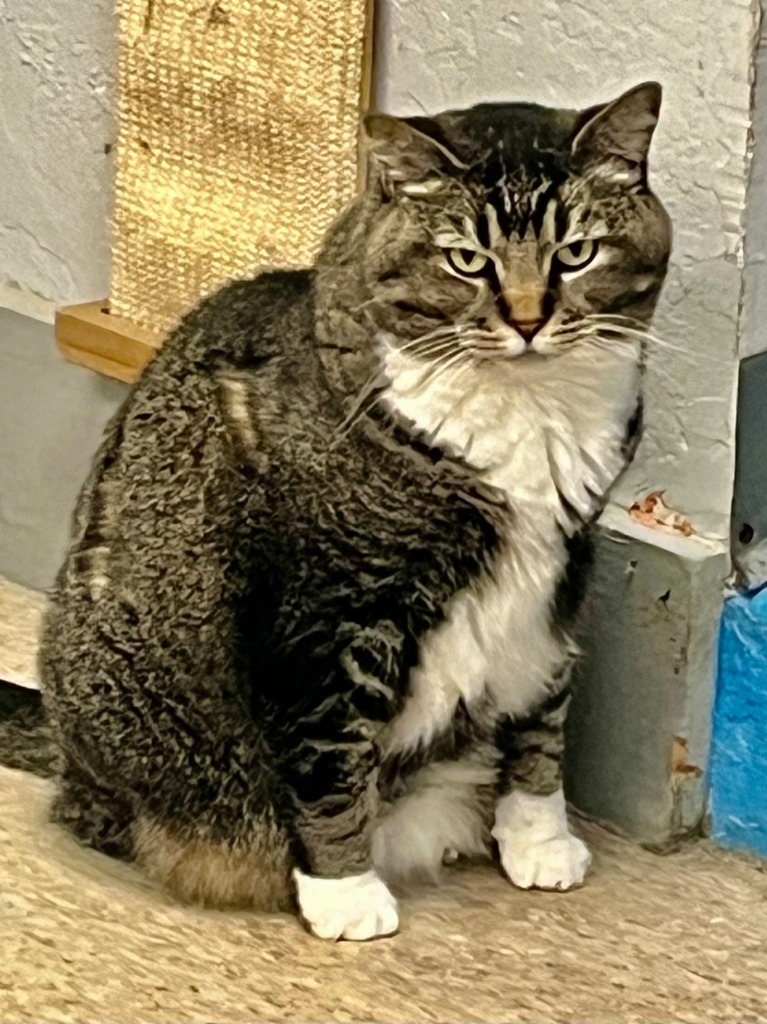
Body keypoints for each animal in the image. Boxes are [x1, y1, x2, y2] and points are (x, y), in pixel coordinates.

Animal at [35, 83, 671, 937]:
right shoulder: (333, 610)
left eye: (575, 253)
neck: (527, 417)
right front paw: (346, 893)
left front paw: (539, 840)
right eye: (466, 260)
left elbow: (542, 717)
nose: (528, 318)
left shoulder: (560, 579)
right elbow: (331, 754)